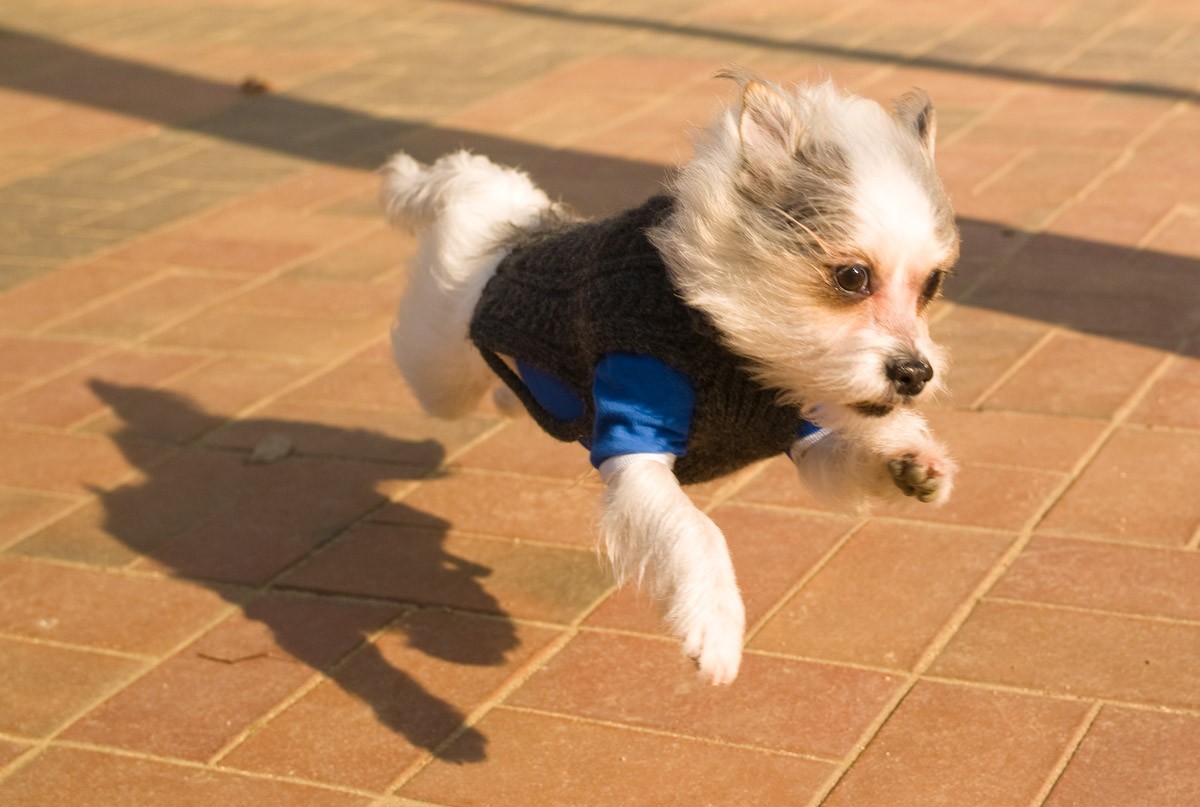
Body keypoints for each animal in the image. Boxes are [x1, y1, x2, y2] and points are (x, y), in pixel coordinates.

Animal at [379, 70, 960, 686]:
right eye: (851, 277)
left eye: (931, 285)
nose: (915, 373)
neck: (730, 345)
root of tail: (517, 228)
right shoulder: (635, 442)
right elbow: (697, 530)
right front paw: (716, 624)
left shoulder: (807, 441)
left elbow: (846, 452)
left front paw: (910, 459)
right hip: (436, 358)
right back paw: (426, 184)